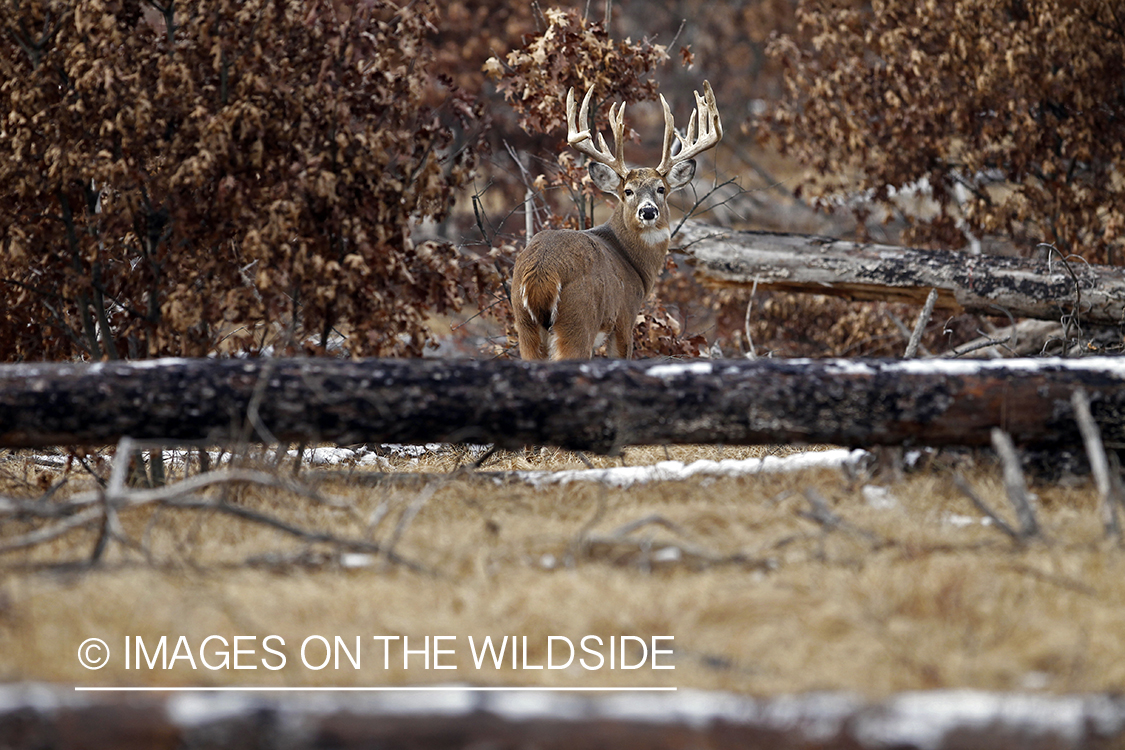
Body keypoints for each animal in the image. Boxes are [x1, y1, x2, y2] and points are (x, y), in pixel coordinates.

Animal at [515, 81, 724, 359]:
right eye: (628, 191)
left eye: (661, 189)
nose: (648, 211)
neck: (632, 265)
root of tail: (541, 273)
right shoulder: (625, 315)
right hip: (578, 320)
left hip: (524, 327)